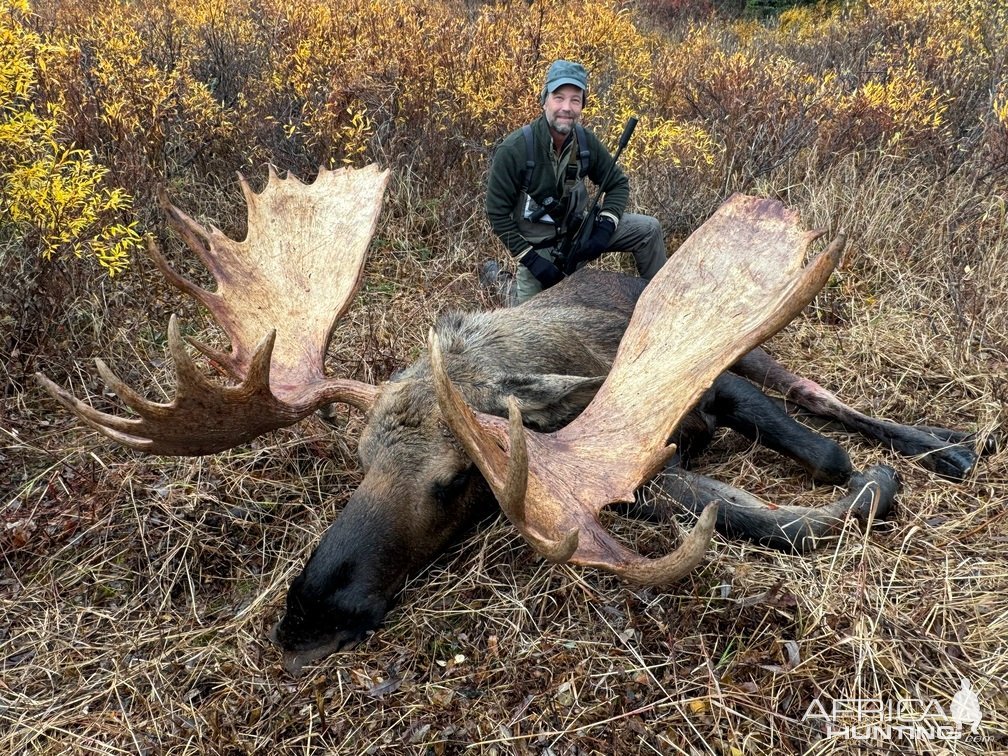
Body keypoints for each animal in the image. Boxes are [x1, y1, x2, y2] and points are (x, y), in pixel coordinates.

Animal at [35, 164, 979, 673]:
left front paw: (885, 473)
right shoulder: (639, 471)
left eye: (461, 483)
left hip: (755, 349)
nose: (307, 616)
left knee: (824, 396)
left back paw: (951, 445)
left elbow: (823, 458)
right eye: (357, 464)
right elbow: (745, 511)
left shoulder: (717, 388)